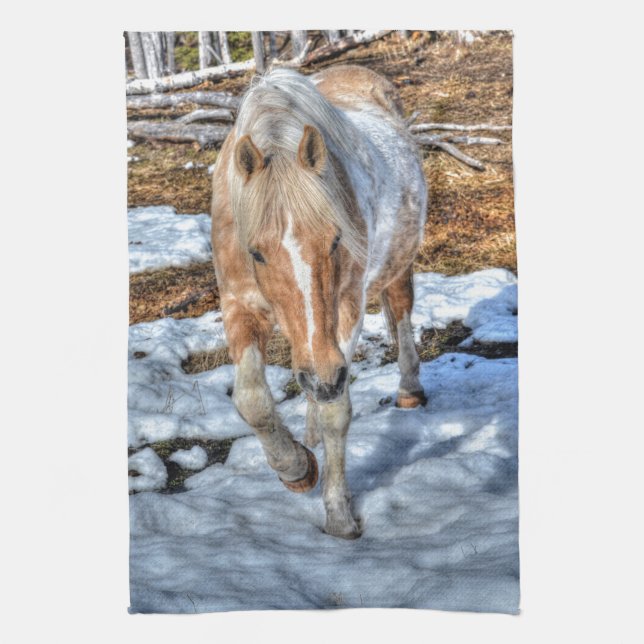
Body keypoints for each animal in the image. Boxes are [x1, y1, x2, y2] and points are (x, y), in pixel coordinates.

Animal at [210, 65, 427, 539]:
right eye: (256, 253)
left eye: (335, 240)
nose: (325, 378)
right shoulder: (238, 305)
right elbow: (252, 400)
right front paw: (295, 467)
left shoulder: (344, 312)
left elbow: (336, 412)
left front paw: (339, 514)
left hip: (397, 266)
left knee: (401, 313)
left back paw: (409, 391)